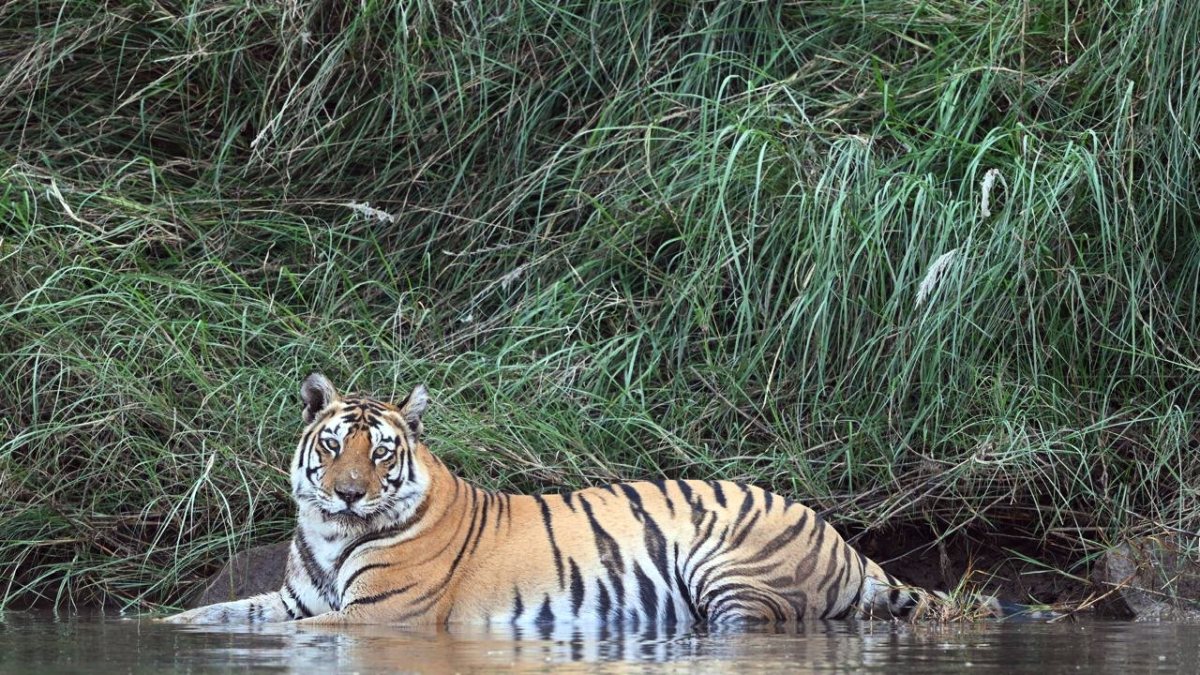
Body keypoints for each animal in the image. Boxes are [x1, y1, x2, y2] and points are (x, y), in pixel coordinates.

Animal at [162, 373, 1032, 626]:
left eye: (380, 455)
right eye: (333, 446)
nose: (347, 494)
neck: (330, 534)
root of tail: (842, 538)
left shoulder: (382, 617)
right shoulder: (294, 598)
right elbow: (215, 616)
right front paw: (164, 627)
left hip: (731, 570)